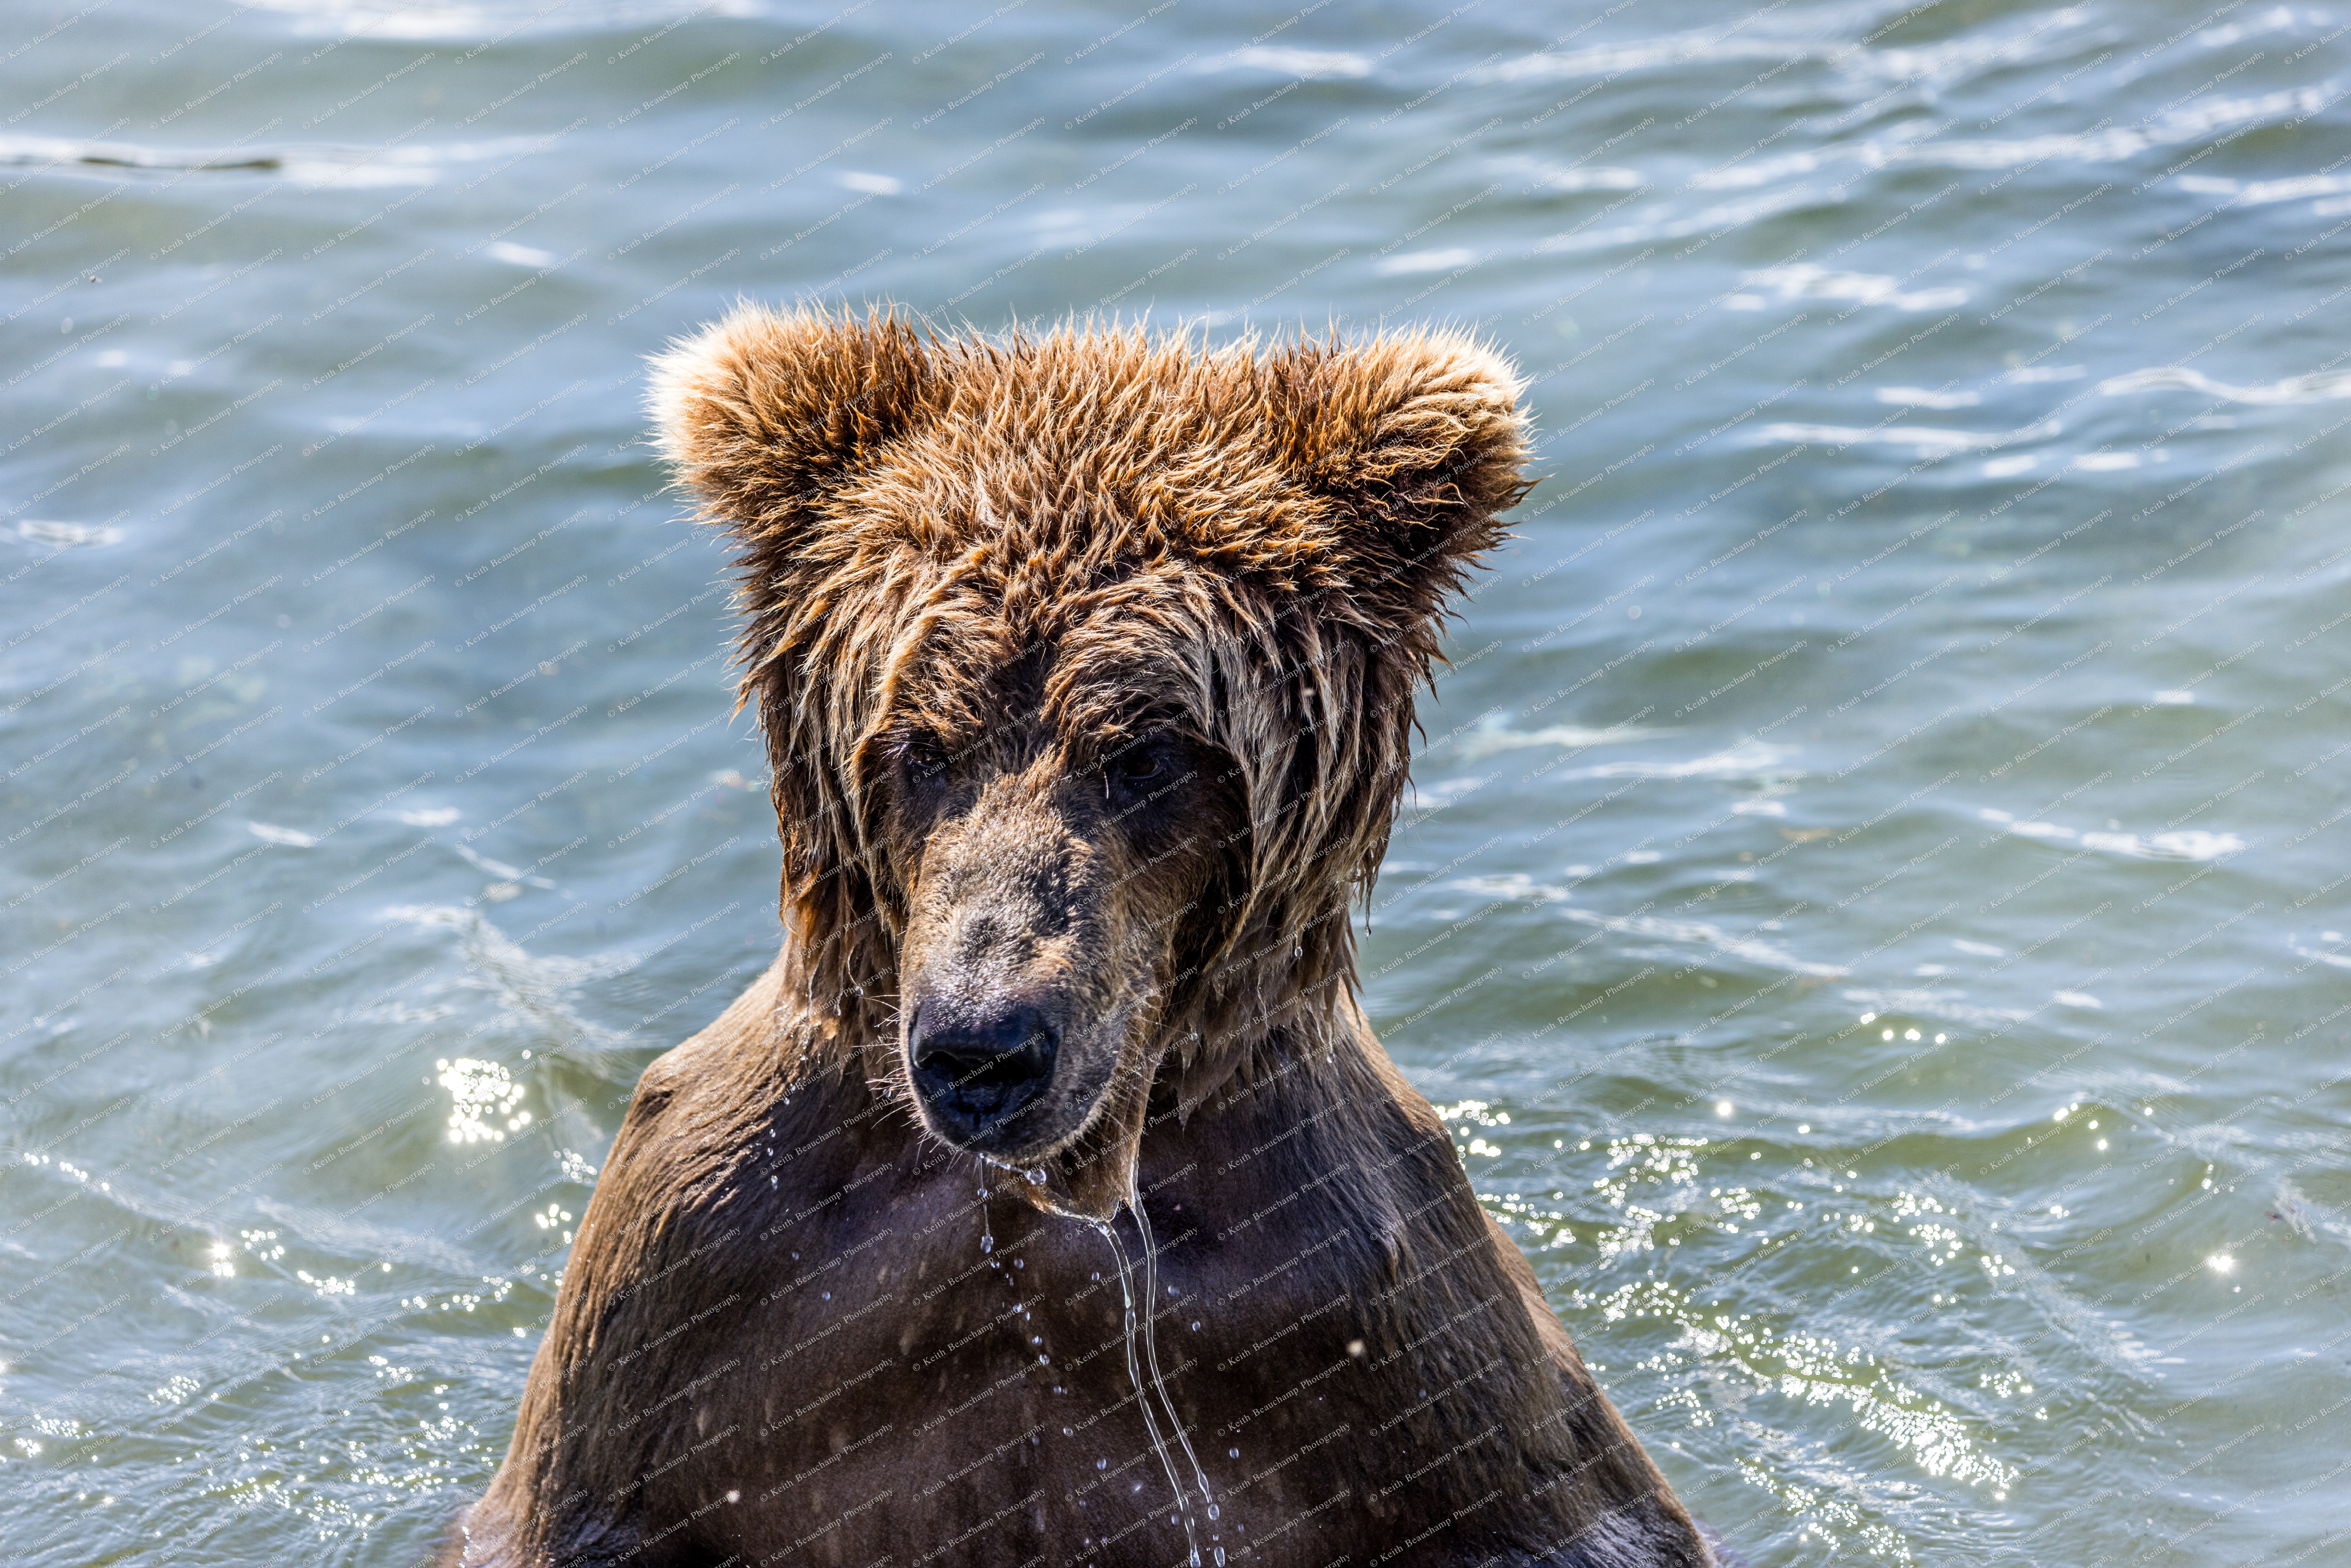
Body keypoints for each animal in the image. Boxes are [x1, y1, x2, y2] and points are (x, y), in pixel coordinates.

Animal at [443, 306, 1714, 1567]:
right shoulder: (696, 1283)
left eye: (1144, 754)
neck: (1053, 1205)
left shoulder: (1375, 1311)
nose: (983, 1046)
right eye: (919, 743)